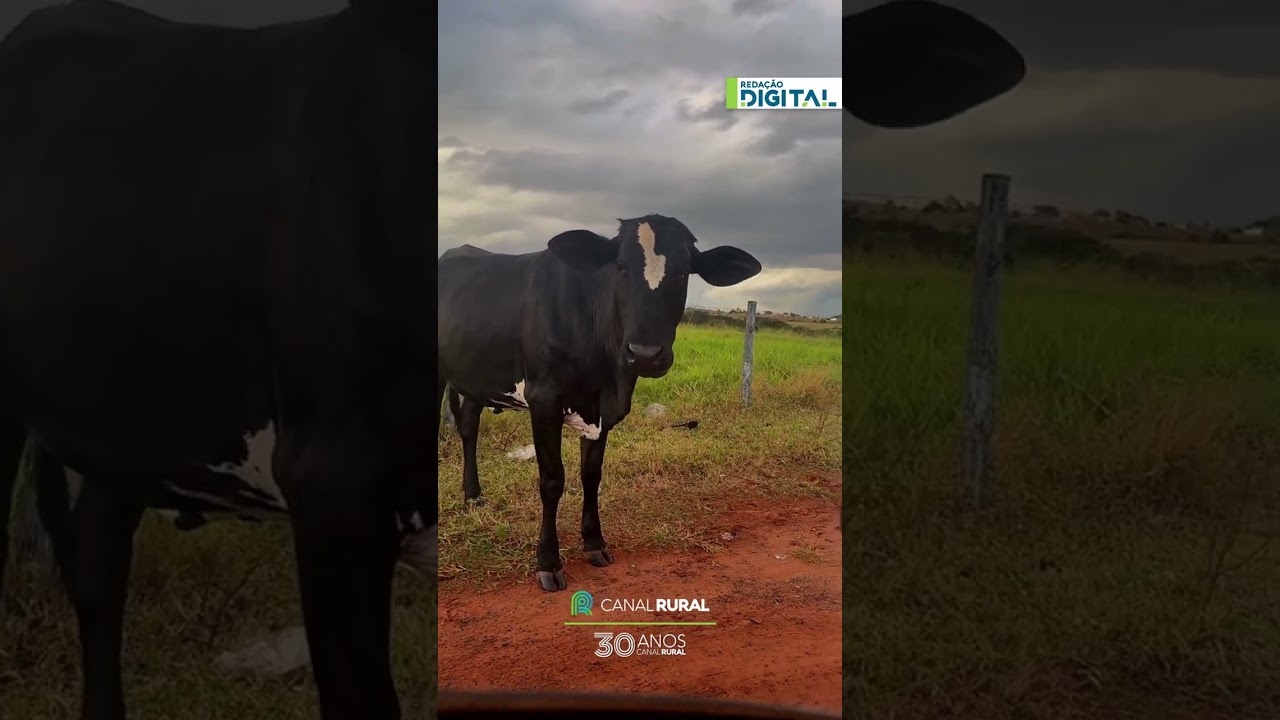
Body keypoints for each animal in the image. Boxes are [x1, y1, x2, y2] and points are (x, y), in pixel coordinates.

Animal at [437, 220, 762, 592]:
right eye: (620, 265)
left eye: (684, 272)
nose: (645, 354)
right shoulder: (544, 400)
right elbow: (552, 481)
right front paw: (548, 561)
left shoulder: (601, 411)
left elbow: (591, 475)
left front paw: (594, 543)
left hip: (476, 378)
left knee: (468, 428)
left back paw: (473, 497)